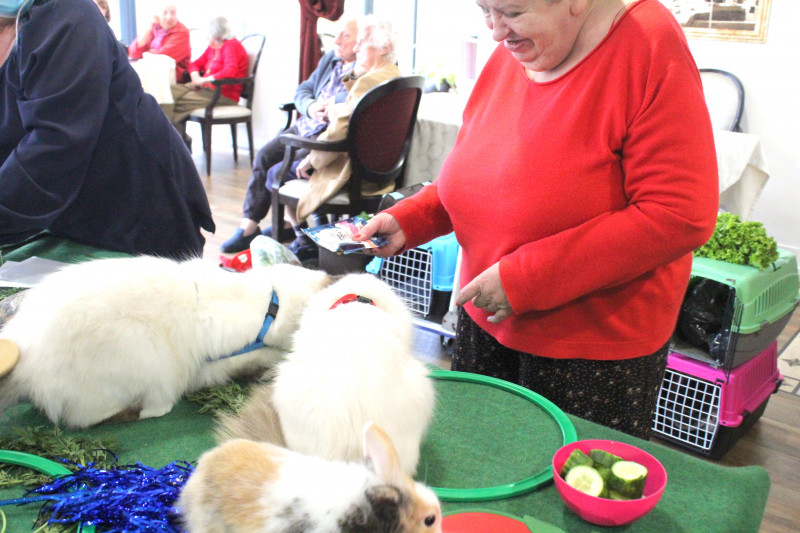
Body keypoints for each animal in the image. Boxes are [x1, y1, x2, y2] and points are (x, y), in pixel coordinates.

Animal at [0, 256, 332, 426]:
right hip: (151, 361)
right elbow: (266, 358)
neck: (272, 300)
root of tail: (27, 367)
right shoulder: (228, 359)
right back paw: (150, 410)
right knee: (102, 417)